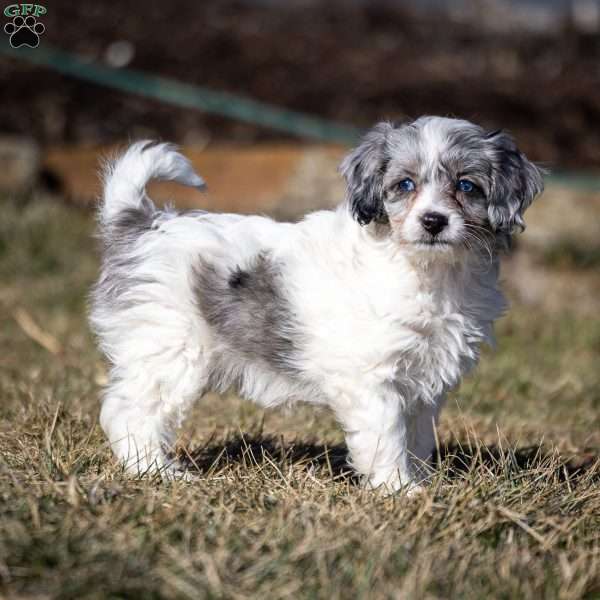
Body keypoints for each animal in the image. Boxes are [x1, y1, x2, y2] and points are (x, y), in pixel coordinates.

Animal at [90, 117, 544, 492]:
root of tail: (144, 224)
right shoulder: (372, 378)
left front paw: (422, 483)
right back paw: (156, 472)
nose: (433, 221)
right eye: (404, 185)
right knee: (129, 412)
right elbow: (387, 435)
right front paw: (400, 491)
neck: (428, 270)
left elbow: (415, 437)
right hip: (170, 351)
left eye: (467, 186)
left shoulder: (424, 382)